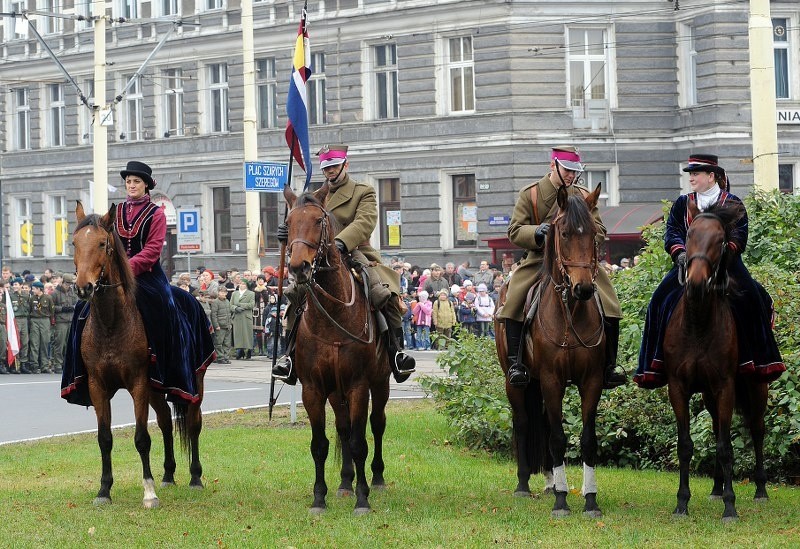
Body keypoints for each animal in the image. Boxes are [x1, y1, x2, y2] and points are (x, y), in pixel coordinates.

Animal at [71, 203, 206, 508]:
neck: (111, 324)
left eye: (102, 243)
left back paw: (194, 477)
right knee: (166, 422)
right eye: (74, 243)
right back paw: (168, 475)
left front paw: (149, 492)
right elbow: (105, 438)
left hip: (194, 382)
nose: (84, 287)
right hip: (157, 390)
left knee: (193, 423)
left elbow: (142, 438)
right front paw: (104, 490)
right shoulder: (97, 386)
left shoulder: (138, 384)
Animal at [282, 184, 392, 512]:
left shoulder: (359, 386)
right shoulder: (314, 388)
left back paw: (376, 479)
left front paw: (363, 500)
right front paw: (320, 497)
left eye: (319, 220)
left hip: (380, 383)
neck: (333, 314)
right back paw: (344, 483)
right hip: (335, 391)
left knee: (376, 425)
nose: (298, 267)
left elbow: (359, 443)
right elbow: (320, 445)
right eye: (288, 223)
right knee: (343, 429)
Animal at [494, 184, 608, 520]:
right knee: (523, 422)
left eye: (593, 234)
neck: (570, 312)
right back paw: (524, 484)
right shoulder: (550, 379)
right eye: (565, 233)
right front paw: (561, 501)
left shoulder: (591, 380)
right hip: (517, 381)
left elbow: (587, 438)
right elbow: (558, 437)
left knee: (542, 422)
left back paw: (549, 480)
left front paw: (590, 499)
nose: (584, 288)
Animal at [660, 199, 764, 520]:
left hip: (757, 387)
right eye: (689, 235)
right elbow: (685, 445)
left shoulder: (726, 386)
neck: (699, 323)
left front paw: (731, 506)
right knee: (719, 426)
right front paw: (682, 503)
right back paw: (716, 488)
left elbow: (725, 447)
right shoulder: (678, 387)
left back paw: (761, 490)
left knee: (757, 431)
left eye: (720, 241)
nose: (695, 283)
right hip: (708, 394)